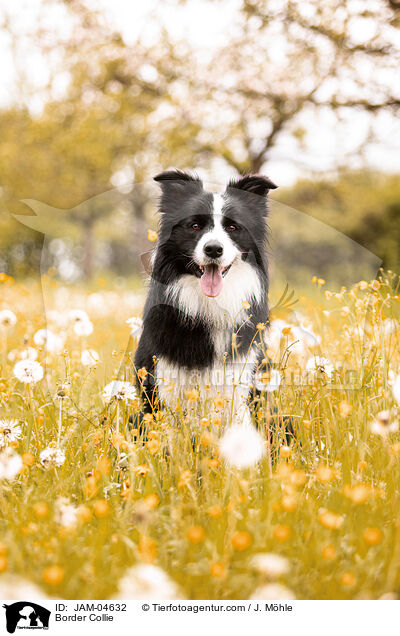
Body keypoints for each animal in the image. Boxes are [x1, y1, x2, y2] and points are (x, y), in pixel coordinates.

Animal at [136, 170, 276, 428]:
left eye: (232, 227)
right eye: (194, 225)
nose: (213, 249)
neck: (210, 304)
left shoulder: (239, 383)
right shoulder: (165, 381)